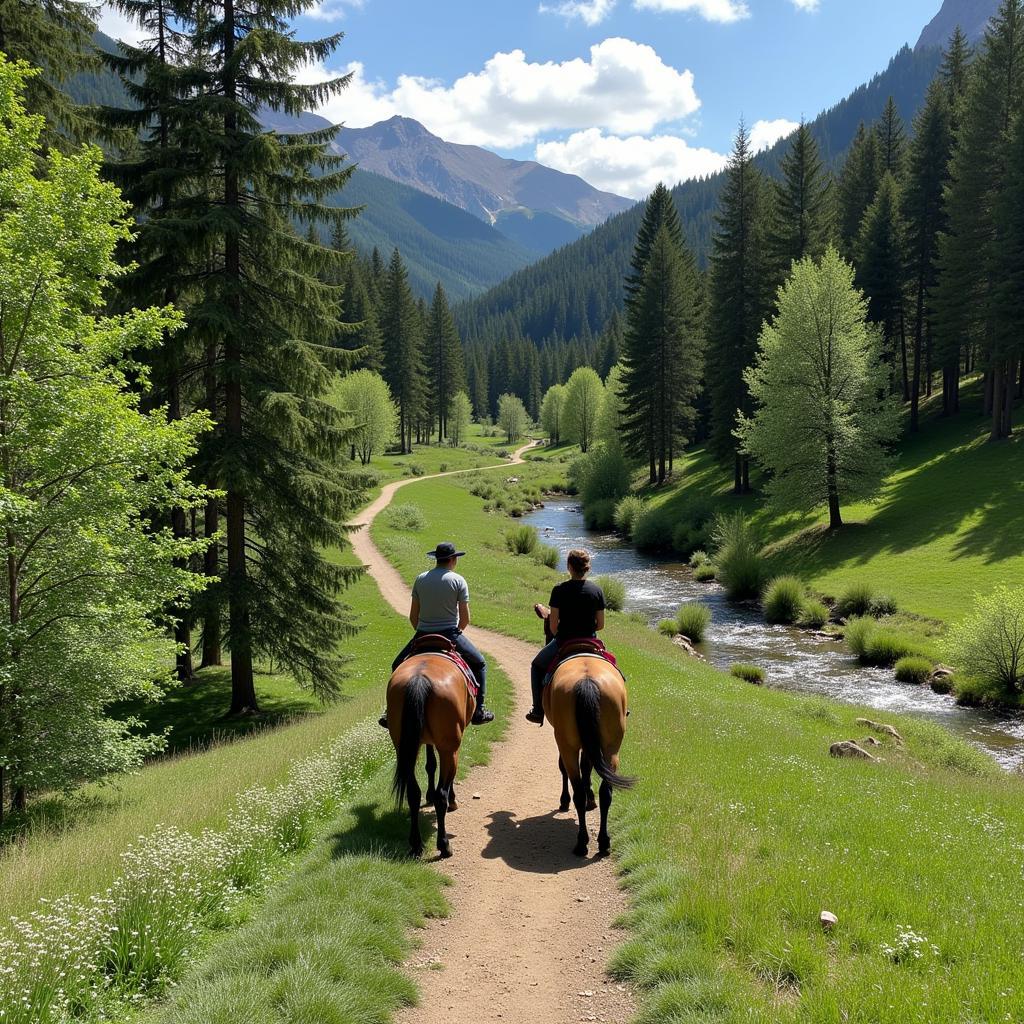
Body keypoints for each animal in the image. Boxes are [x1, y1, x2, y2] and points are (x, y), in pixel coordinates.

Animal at [387, 651, 475, 860]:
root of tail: (419, 679)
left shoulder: (425, 740)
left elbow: (430, 764)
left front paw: (428, 793)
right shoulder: (450, 749)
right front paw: (452, 799)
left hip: (403, 748)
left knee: (412, 793)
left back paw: (416, 845)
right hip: (449, 749)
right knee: (441, 796)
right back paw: (444, 845)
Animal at [544, 651, 630, 860]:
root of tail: (587, 682)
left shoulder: (563, 741)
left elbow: (567, 768)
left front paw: (564, 800)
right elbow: (588, 766)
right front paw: (591, 797)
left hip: (567, 744)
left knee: (577, 791)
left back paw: (581, 843)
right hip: (611, 748)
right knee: (606, 792)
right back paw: (604, 843)